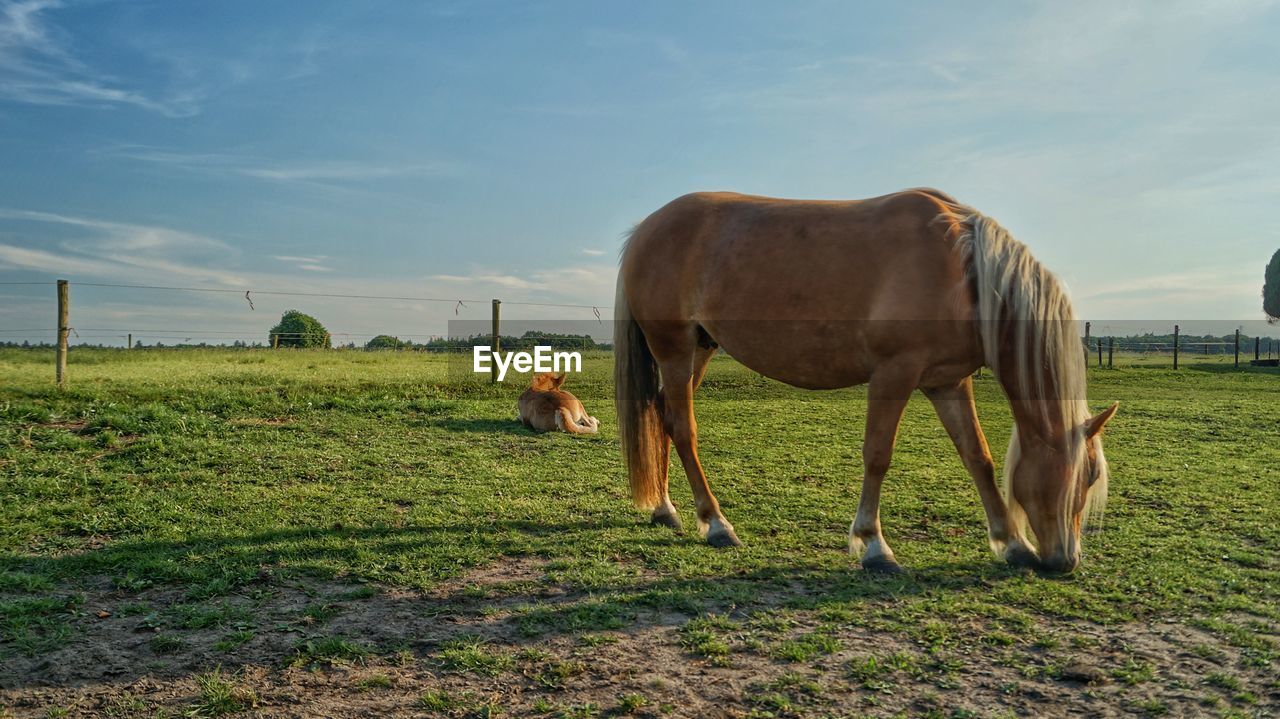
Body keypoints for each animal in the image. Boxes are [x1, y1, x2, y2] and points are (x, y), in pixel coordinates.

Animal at [614, 189, 1116, 570]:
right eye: (1085, 475)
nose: (1065, 561)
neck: (962, 271)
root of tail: (645, 229)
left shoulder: (948, 382)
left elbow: (978, 457)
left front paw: (1012, 543)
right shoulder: (894, 374)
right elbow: (878, 456)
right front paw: (874, 545)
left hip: (699, 349)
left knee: (662, 418)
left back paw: (665, 509)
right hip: (674, 349)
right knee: (684, 429)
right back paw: (716, 524)